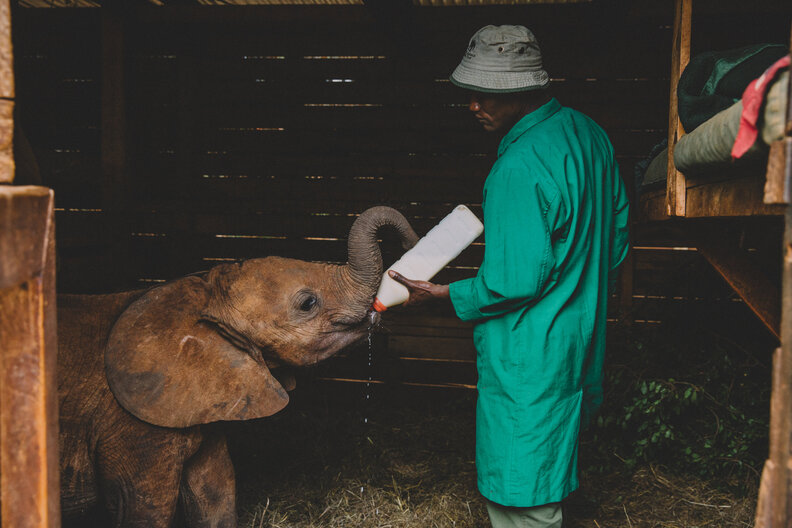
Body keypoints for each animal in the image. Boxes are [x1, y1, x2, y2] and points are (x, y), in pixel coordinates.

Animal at [56, 206, 418, 528]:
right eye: (307, 303)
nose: (410, 244)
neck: (202, 296)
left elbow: (215, 491)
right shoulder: (132, 426)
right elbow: (144, 508)